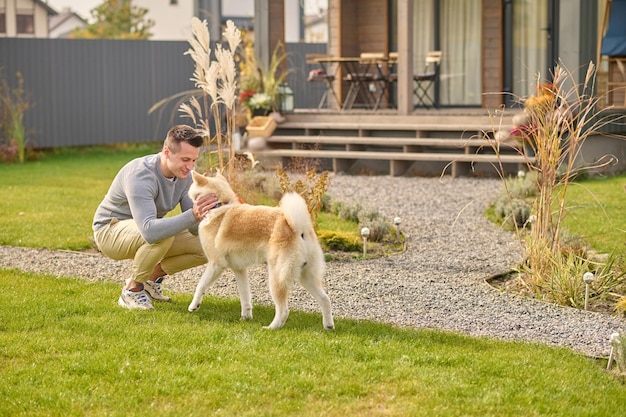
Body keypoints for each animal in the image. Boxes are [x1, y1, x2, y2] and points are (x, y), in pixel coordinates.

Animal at [185, 169, 332, 328]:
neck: (219, 206)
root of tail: (299, 228)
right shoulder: (239, 269)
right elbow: (245, 297)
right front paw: (245, 318)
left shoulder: (216, 264)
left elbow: (201, 285)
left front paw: (194, 305)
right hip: (306, 276)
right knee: (325, 299)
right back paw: (328, 326)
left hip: (277, 277)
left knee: (283, 310)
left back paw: (271, 328)